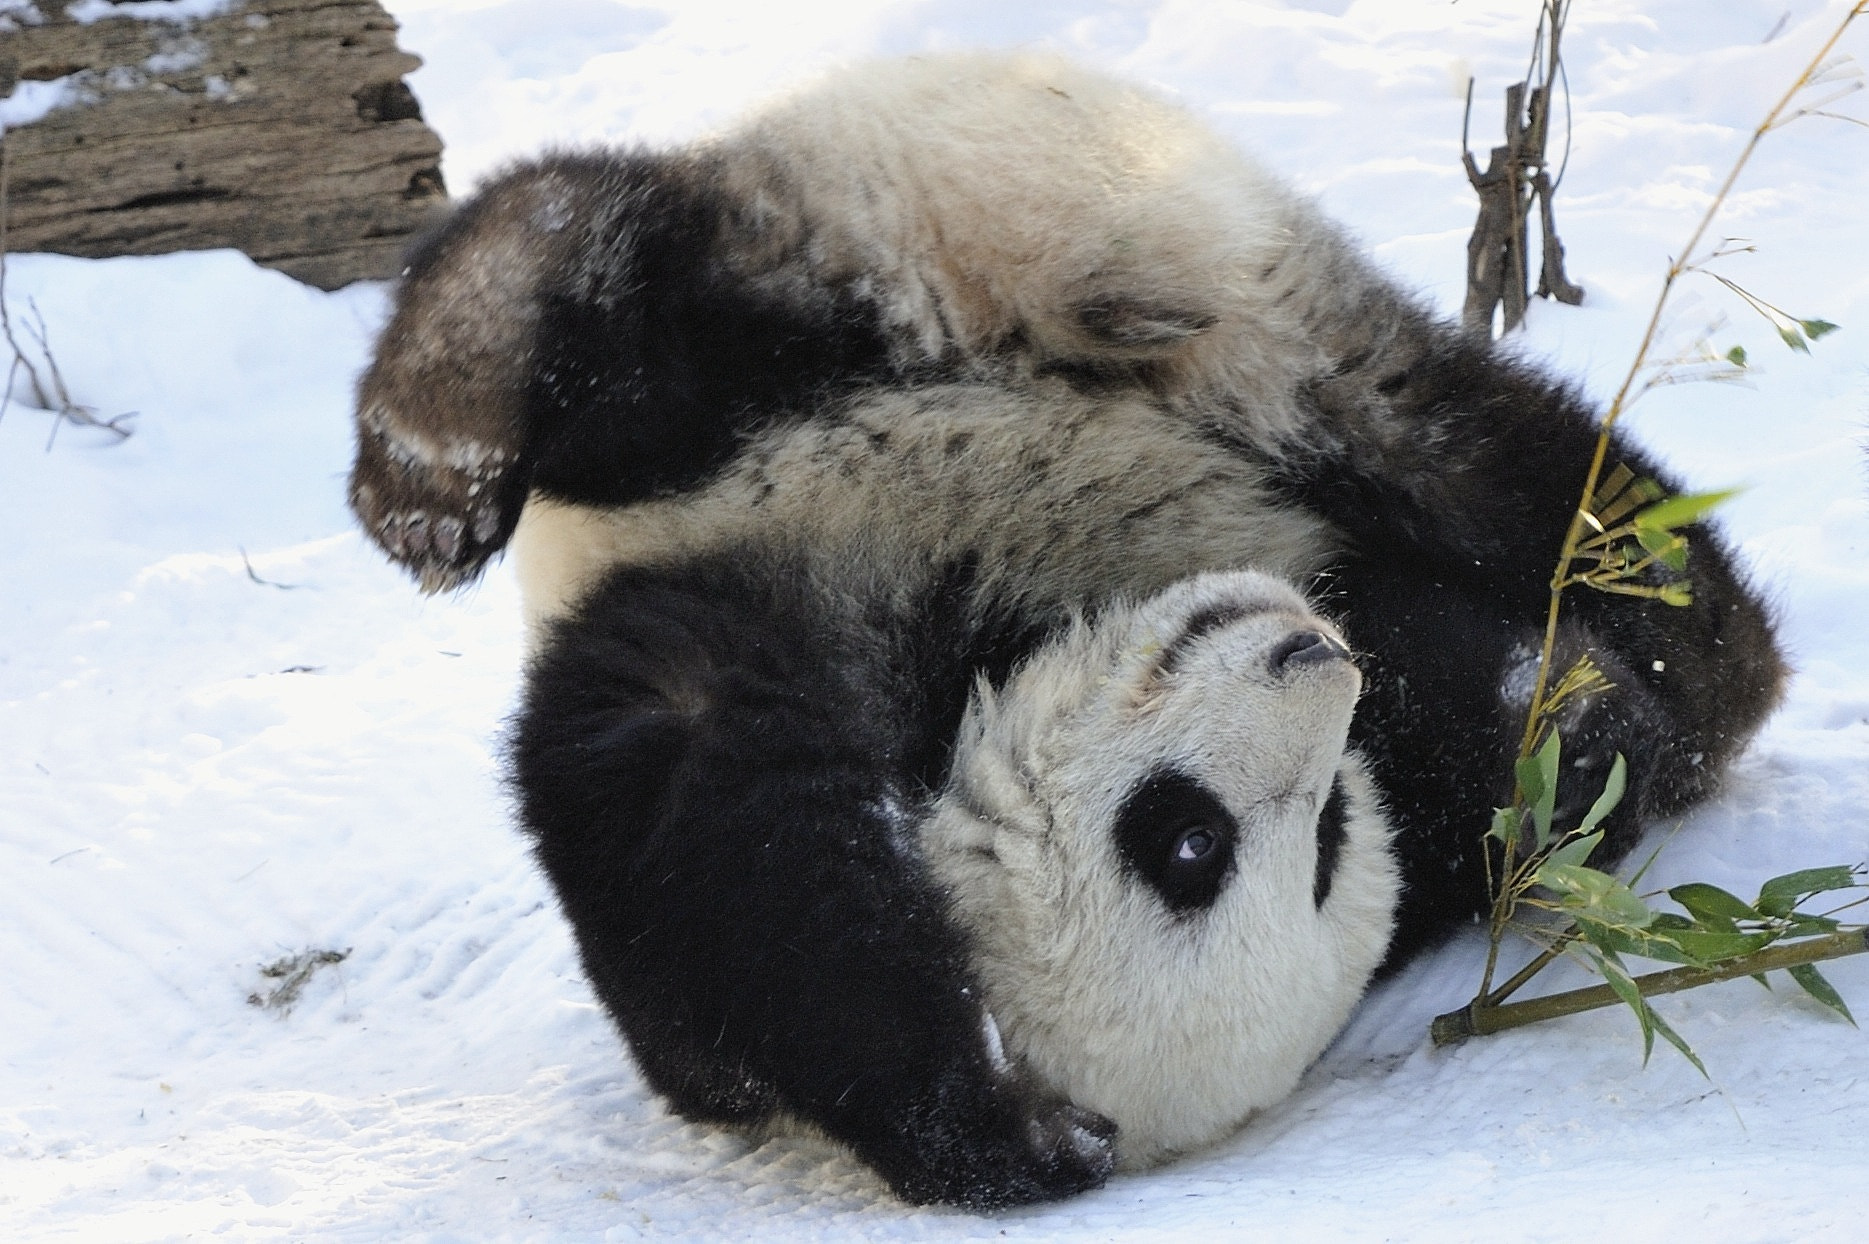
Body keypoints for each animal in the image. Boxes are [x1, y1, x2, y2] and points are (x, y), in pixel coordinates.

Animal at [347, 55, 1779, 1202]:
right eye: (1187, 839)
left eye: (1327, 832)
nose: (1317, 661)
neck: (986, 637)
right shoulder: (753, 601)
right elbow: (704, 814)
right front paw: (984, 1118)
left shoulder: (1371, 647)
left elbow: (1516, 748)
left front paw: (1566, 712)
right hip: (892, 269)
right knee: (617, 289)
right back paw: (434, 463)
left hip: (1249, 345)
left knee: (1493, 465)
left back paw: (1685, 623)